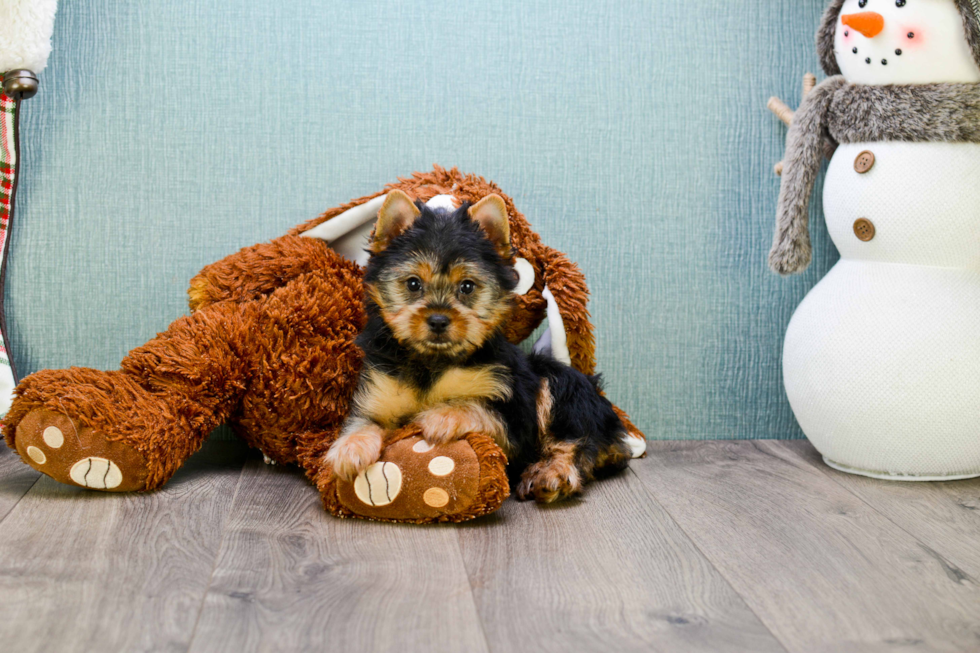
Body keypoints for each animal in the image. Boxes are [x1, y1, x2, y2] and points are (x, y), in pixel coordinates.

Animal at [326, 191, 632, 502]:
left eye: (467, 287)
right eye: (413, 284)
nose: (438, 320)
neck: (433, 359)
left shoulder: (513, 417)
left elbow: (481, 408)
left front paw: (442, 415)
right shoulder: (378, 392)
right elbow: (363, 420)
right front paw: (350, 448)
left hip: (561, 383)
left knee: (575, 435)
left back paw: (552, 474)